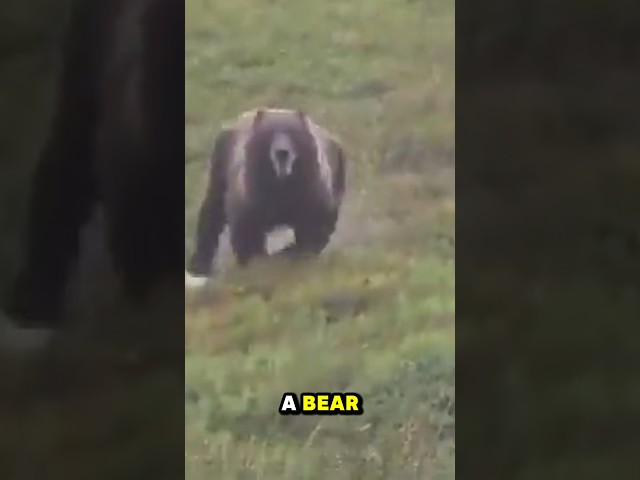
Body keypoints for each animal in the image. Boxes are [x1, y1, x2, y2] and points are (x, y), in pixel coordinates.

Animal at [185, 108, 347, 287]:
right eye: (270, 133)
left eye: (292, 132)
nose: (282, 152)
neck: (281, 184)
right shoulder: (252, 197)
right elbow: (247, 233)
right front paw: (258, 263)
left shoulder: (311, 193)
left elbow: (314, 230)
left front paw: (289, 253)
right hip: (220, 164)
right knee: (213, 210)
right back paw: (199, 265)